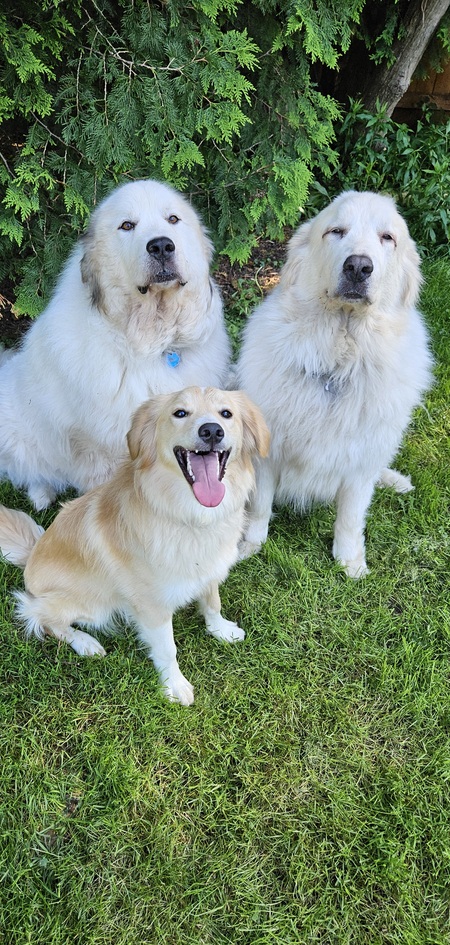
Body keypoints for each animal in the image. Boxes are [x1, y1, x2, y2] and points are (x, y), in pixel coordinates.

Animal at [0, 181, 230, 512]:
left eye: (173, 219)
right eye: (127, 226)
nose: (161, 246)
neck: (152, 342)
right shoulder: (98, 447)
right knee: (31, 470)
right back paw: (41, 495)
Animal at [0, 388, 268, 704]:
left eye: (226, 414)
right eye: (180, 413)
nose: (212, 431)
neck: (187, 515)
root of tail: (30, 555)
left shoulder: (209, 571)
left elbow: (213, 603)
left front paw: (221, 630)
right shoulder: (153, 606)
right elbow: (167, 648)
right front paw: (174, 684)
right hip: (91, 604)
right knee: (41, 617)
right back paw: (85, 642)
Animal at [237, 192, 434, 576]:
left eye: (387, 238)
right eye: (336, 231)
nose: (358, 267)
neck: (338, 361)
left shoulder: (360, 463)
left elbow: (351, 517)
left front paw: (350, 562)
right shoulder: (267, 453)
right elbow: (260, 508)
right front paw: (250, 546)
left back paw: (396, 480)